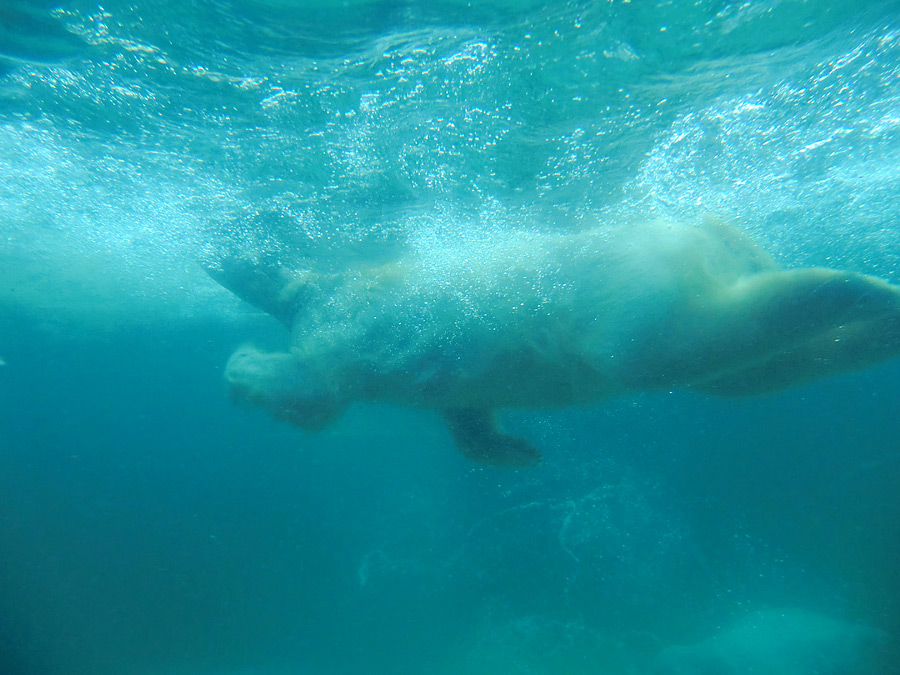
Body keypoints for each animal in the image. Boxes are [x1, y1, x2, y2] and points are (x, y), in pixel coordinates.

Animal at [207, 219, 900, 468]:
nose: (218, 249)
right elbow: (465, 412)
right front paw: (515, 450)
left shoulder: (340, 323)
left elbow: (310, 387)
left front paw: (242, 373)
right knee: (754, 368)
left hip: (616, 293)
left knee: (675, 346)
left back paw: (865, 288)